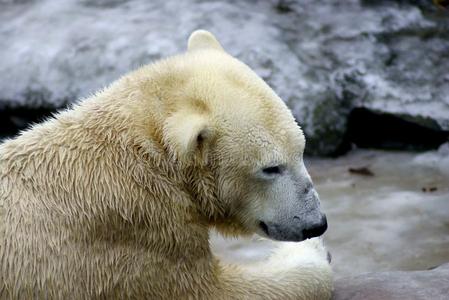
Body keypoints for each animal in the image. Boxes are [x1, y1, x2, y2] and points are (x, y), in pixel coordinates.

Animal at [0, 29, 328, 298]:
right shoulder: (139, 238)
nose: (316, 224)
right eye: (271, 168)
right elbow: (215, 291)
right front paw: (312, 254)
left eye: (301, 151)